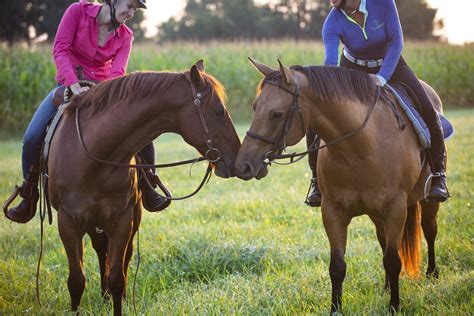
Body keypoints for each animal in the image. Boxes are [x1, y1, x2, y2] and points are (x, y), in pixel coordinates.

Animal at [45, 60, 241, 314]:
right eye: (218, 110)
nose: (237, 158)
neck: (94, 155)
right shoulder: (68, 223)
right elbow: (76, 281)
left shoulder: (122, 220)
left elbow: (117, 277)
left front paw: (117, 298)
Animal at [237, 59, 444, 314]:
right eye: (255, 107)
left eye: (276, 114)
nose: (243, 165)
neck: (360, 148)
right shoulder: (332, 211)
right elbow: (337, 265)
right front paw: (336, 308)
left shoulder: (395, 209)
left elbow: (393, 261)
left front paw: (394, 306)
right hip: (376, 213)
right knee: (384, 240)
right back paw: (387, 286)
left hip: (426, 201)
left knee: (429, 230)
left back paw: (432, 273)